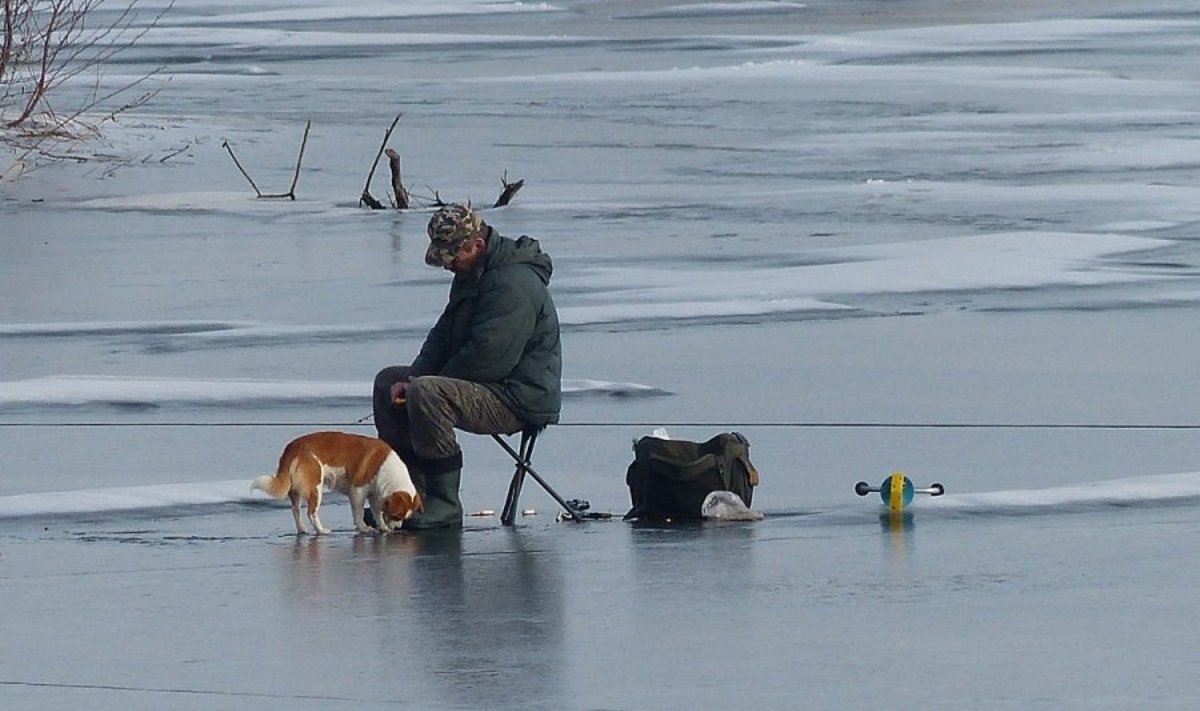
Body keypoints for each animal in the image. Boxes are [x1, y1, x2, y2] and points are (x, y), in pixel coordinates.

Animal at [250, 429, 424, 535]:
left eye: (402, 518)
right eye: (396, 516)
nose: (397, 528)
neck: (386, 468)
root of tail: (293, 447)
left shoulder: (376, 495)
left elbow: (377, 513)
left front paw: (382, 527)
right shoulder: (358, 491)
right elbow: (359, 513)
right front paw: (364, 528)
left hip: (296, 491)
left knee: (296, 510)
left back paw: (302, 529)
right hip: (316, 488)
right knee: (311, 512)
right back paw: (321, 530)